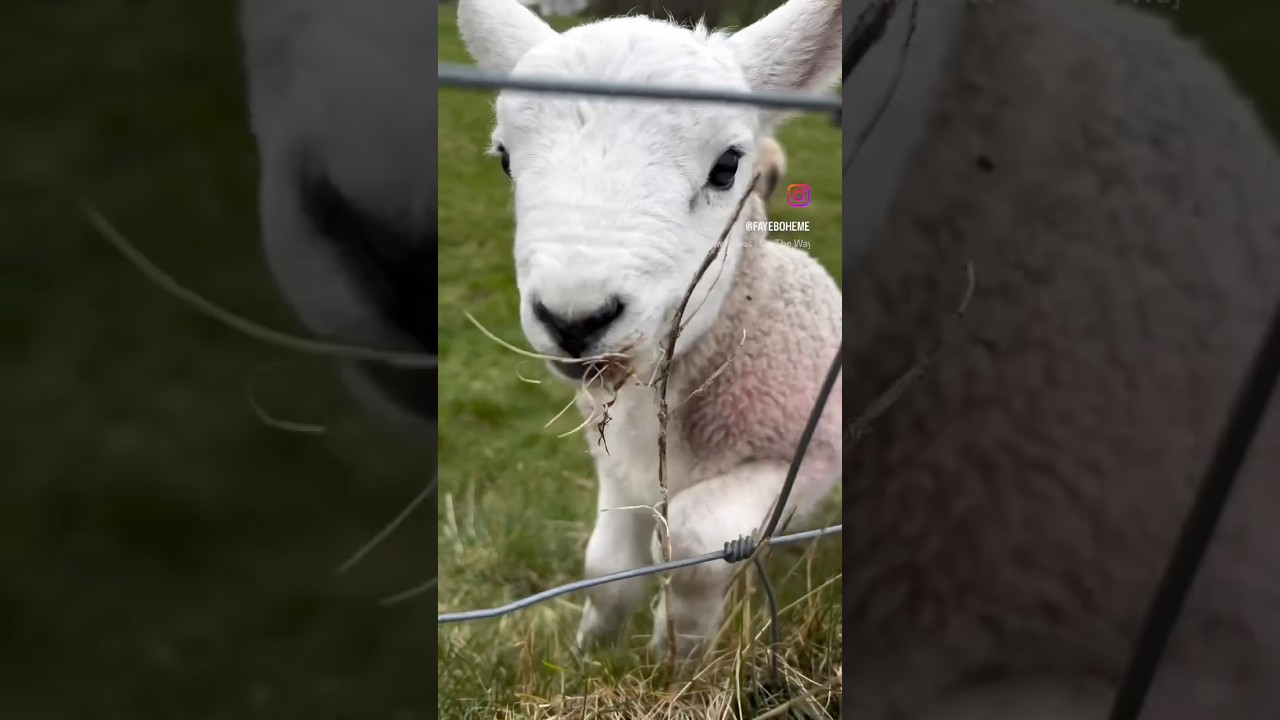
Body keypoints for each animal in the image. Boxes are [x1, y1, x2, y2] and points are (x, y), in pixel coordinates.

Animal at [456, 0, 844, 659]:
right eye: (505, 158)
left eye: (727, 166)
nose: (574, 319)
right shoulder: (618, 465)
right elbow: (606, 569)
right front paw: (592, 654)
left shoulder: (802, 455)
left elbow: (690, 542)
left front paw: (677, 656)